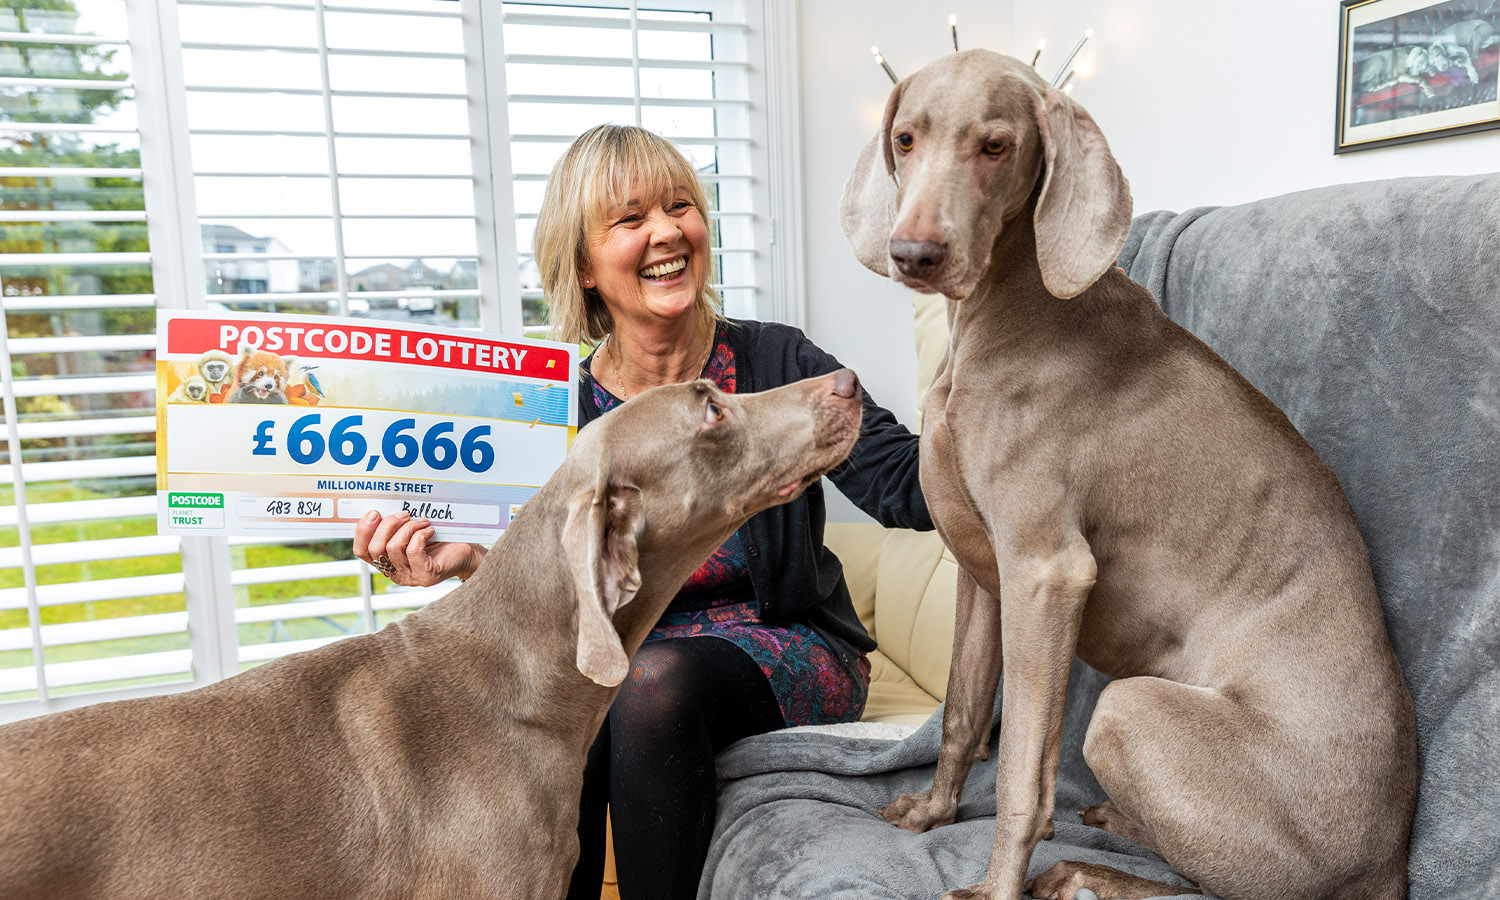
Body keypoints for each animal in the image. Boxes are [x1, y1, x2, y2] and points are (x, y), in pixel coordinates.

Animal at [846, 51, 1416, 900]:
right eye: (906, 138)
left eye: (996, 146)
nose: (914, 254)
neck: (1005, 310)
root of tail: (1390, 863)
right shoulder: (985, 576)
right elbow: (963, 713)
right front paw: (932, 812)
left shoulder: (1046, 573)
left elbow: (1021, 773)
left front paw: (999, 885)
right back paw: (1107, 829)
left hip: (1130, 708)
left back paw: (1082, 873)